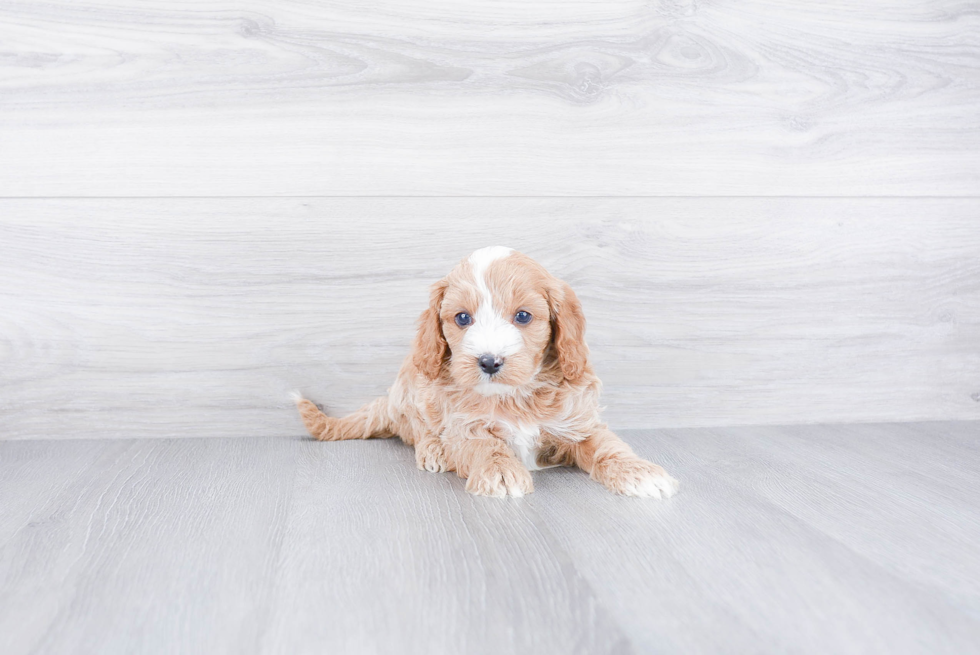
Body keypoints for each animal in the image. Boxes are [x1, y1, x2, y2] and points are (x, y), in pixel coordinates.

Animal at [296, 249, 680, 500]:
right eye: (463, 318)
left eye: (523, 316)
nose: (489, 362)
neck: (513, 396)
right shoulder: (464, 424)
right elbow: (486, 446)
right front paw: (501, 472)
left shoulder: (578, 422)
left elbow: (608, 447)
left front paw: (639, 472)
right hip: (416, 388)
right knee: (419, 429)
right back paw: (433, 451)